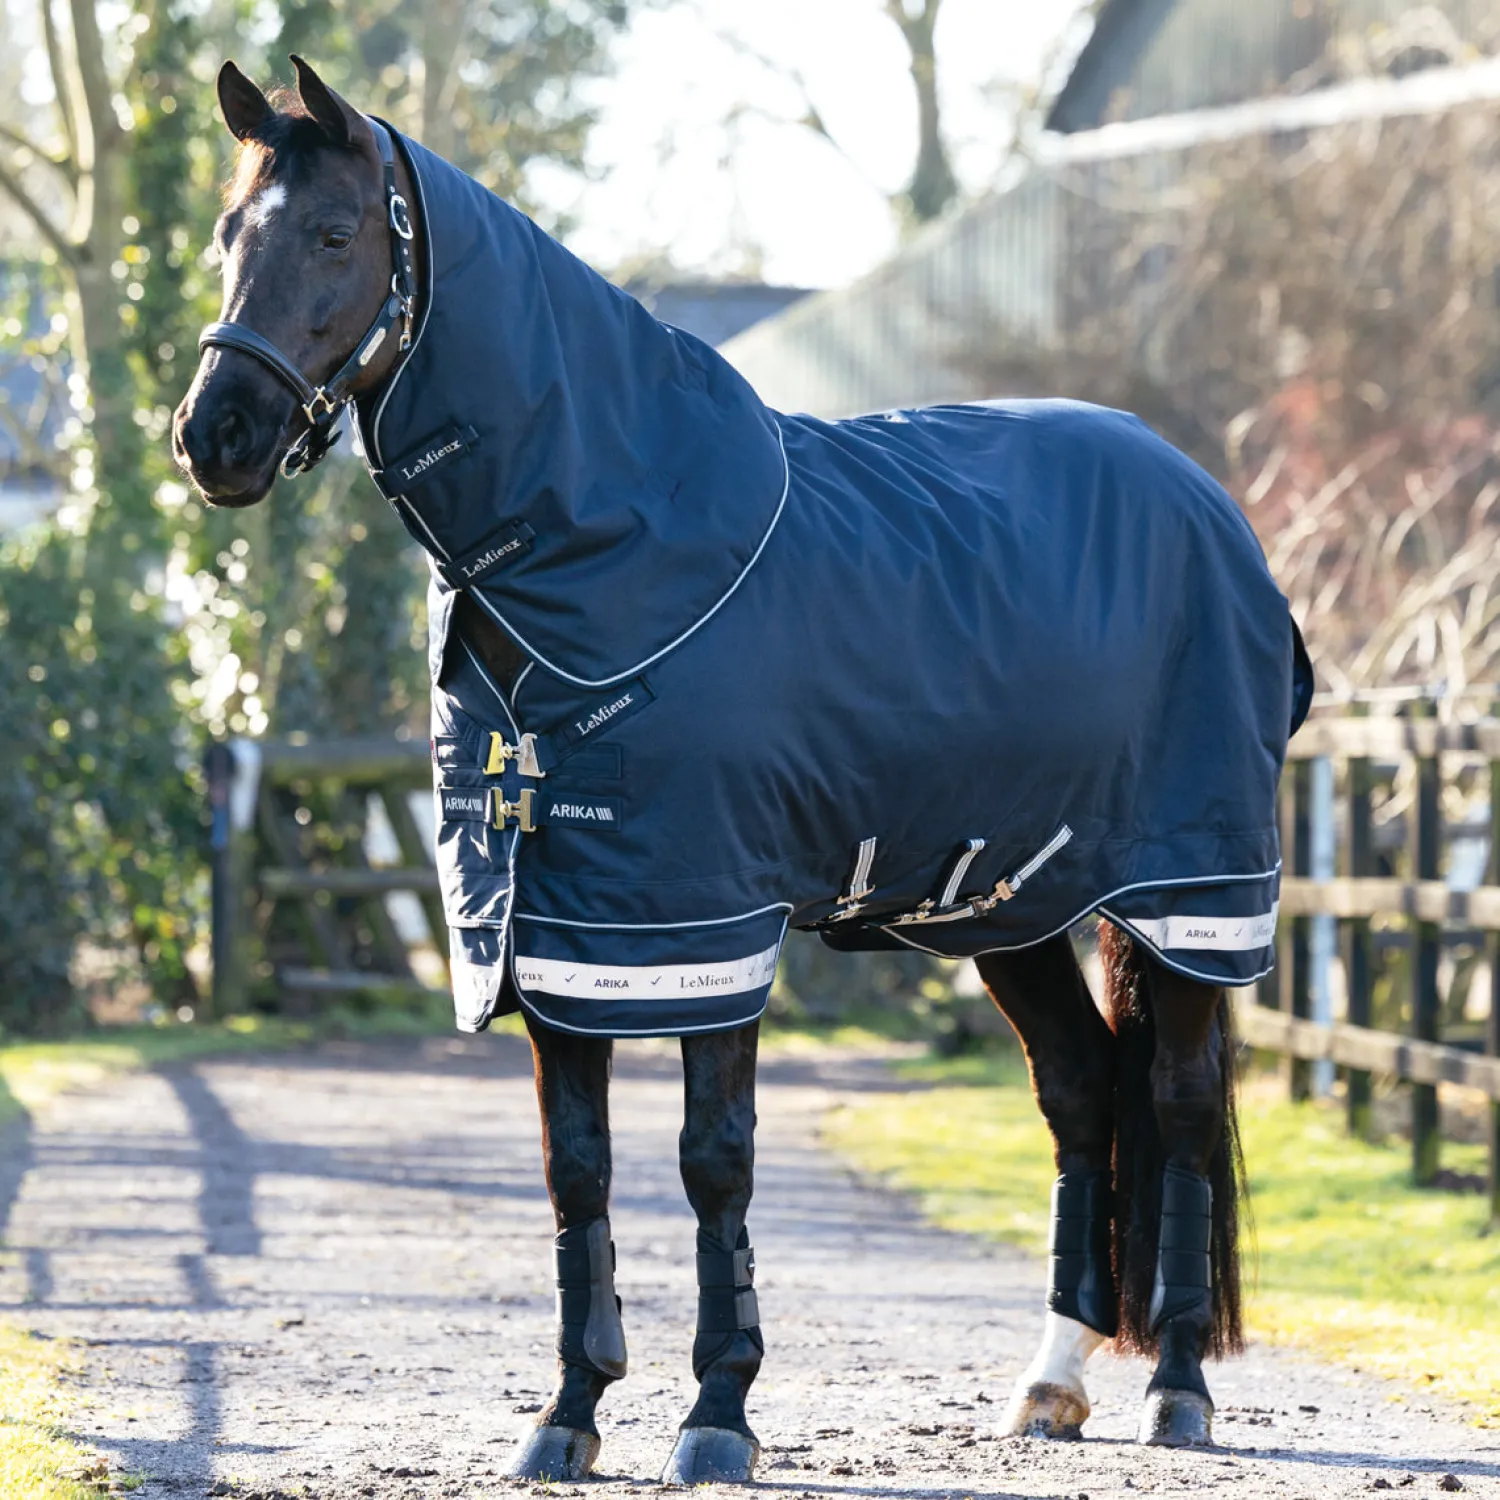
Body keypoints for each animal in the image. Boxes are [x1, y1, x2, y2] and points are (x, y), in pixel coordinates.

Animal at [172, 57, 1311, 1482]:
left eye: (334, 235)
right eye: (228, 236)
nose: (213, 435)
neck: (617, 552)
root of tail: (1209, 504)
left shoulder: (704, 919)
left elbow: (713, 1163)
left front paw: (716, 1413)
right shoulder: (560, 929)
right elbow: (577, 1169)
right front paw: (569, 1413)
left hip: (1190, 899)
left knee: (1178, 1098)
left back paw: (1175, 1389)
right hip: (1009, 908)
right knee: (1082, 1092)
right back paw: (1050, 1383)